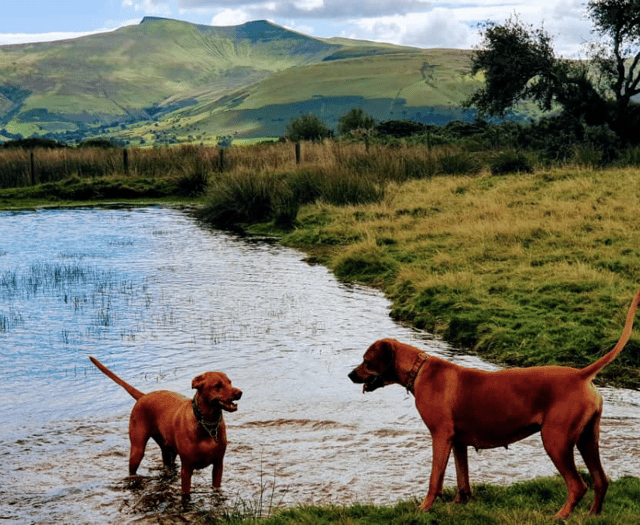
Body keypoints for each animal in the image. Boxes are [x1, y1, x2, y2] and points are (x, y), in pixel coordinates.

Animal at [89, 356, 241, 496]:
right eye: (218, 385)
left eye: (230, 382)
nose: (239, 392)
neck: (207, 425)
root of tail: (143, 396)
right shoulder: (187, 468)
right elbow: (186, 494)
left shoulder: (218, 465)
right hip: (137, 449)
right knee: (133, 469)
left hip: (168, 451)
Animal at [350, 286, 640, 516]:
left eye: (366, 361)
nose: (350, 375)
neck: (419, 370)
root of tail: (580, 375)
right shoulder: (458, 441)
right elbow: (462, 477)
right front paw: (460, 502)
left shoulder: (440, 436)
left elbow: (435, 478)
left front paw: (425, 508)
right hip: (587, 439)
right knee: (601, 480)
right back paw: (592, 515)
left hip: (556, 440)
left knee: (578, 485)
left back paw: (560, 516)